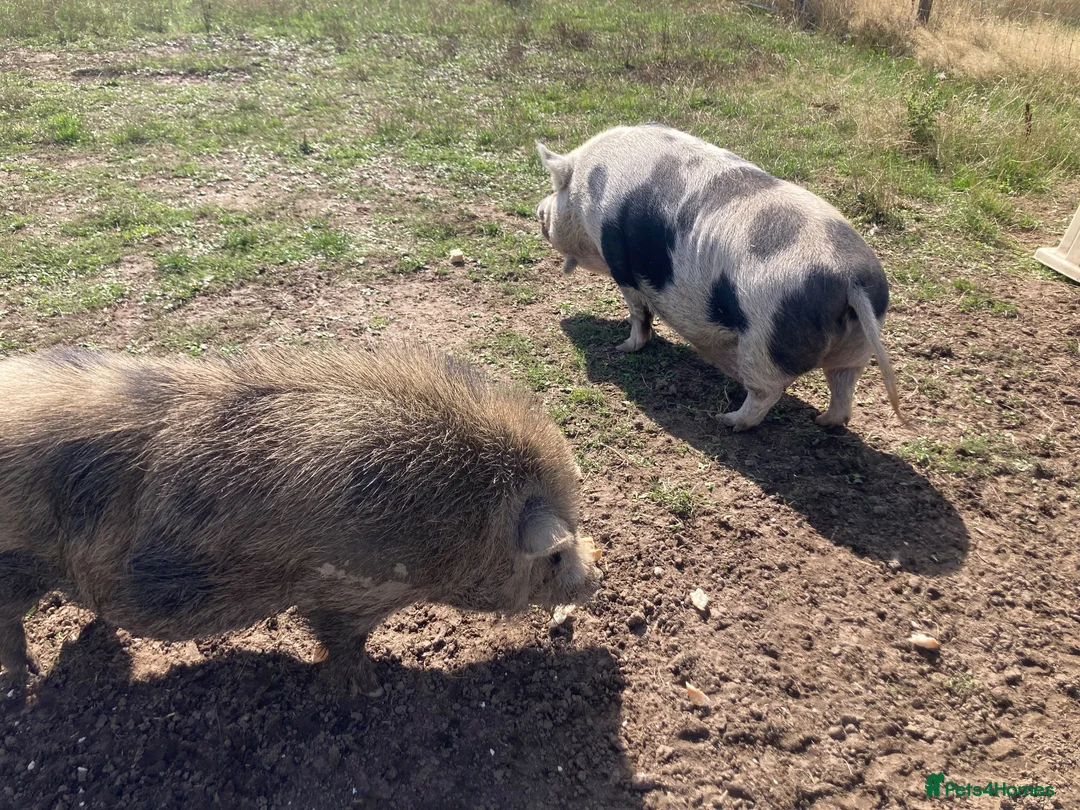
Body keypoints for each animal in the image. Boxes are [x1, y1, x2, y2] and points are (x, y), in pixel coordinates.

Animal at [0, 345, 600, 696]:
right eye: (554, 555)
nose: (595, 580)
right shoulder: (347, 589)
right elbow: (343, 642)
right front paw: (371, 687)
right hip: (15, 568)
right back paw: (27, 677)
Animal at [535, 123, 903, 431]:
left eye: (556, 188)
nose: (538, 210)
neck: (586, 187)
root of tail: (850, 278)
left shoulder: (621, 263)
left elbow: (638, 312)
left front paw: (624, 347)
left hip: (765, 341)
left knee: (767, 392)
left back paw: (727, 420)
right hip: (857, 346)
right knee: (844, 388)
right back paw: (822, 421)